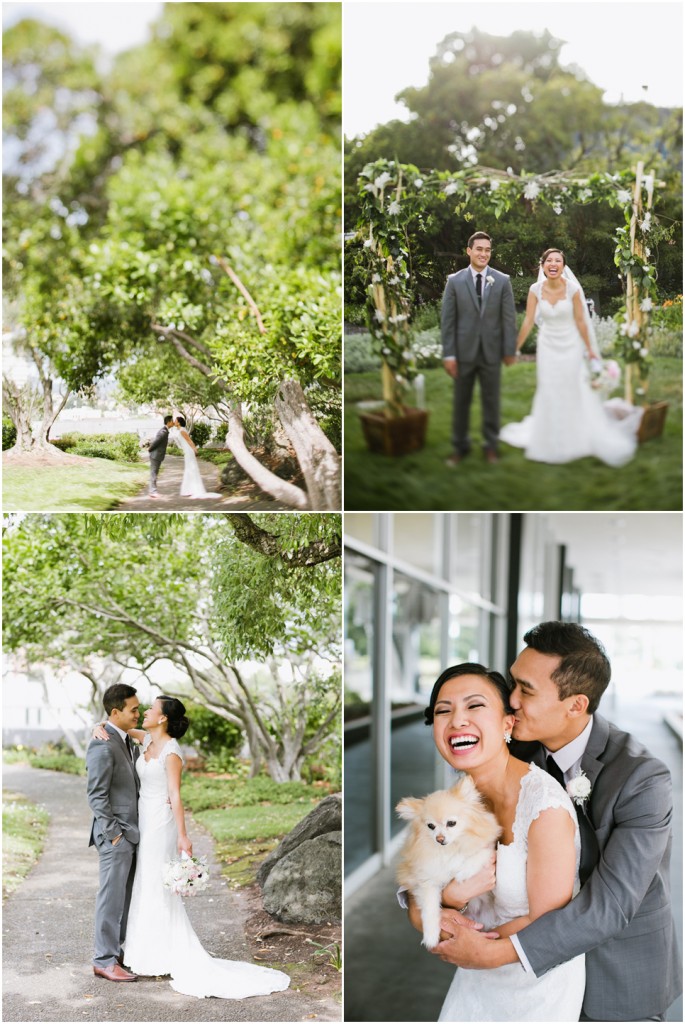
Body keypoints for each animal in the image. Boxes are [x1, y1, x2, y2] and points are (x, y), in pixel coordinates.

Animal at [393, 774, 499, 950]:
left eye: (451, 823)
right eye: (430, 826)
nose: (440, 838)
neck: (449, 850)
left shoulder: (490, 850)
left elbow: (479, 855)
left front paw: (463, 872)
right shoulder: (427, 882)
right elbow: (430, 909)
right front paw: (430, 937)